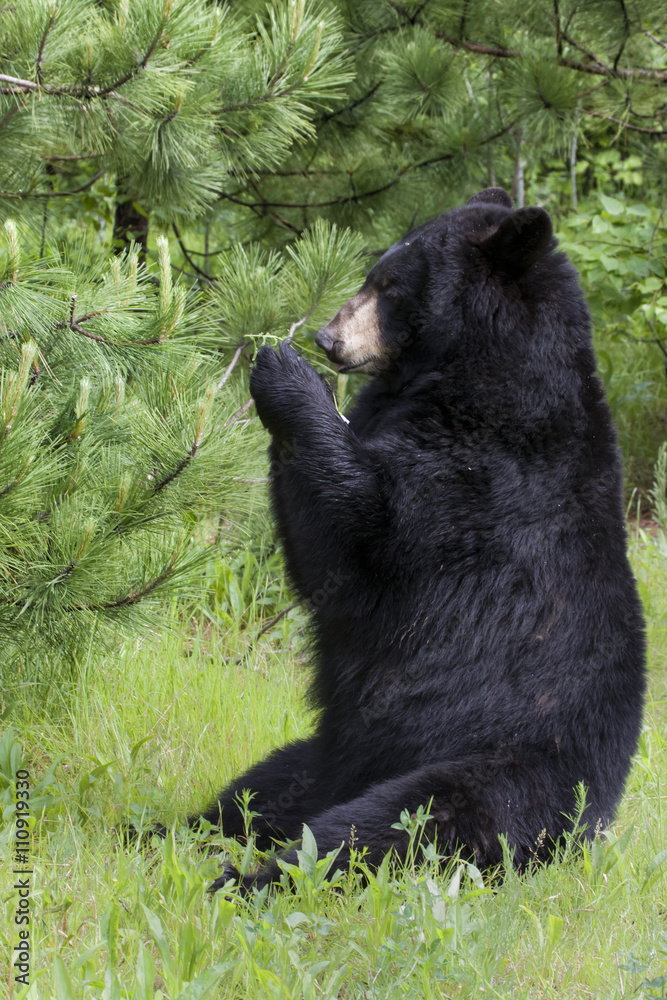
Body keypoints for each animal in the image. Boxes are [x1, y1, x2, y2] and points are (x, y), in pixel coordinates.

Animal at [200, 187, 646, 894]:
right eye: (372, 273)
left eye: (391, 288)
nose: (328, 339)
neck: (474, 370)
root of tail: (590, 827)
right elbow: (316, 557)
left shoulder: (480, 478)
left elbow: (361, 543)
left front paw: (287, 373)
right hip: (322, 754)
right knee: (258, 792)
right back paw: (157, 831)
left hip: (493, 780)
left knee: (369, 833)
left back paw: (247, 880)